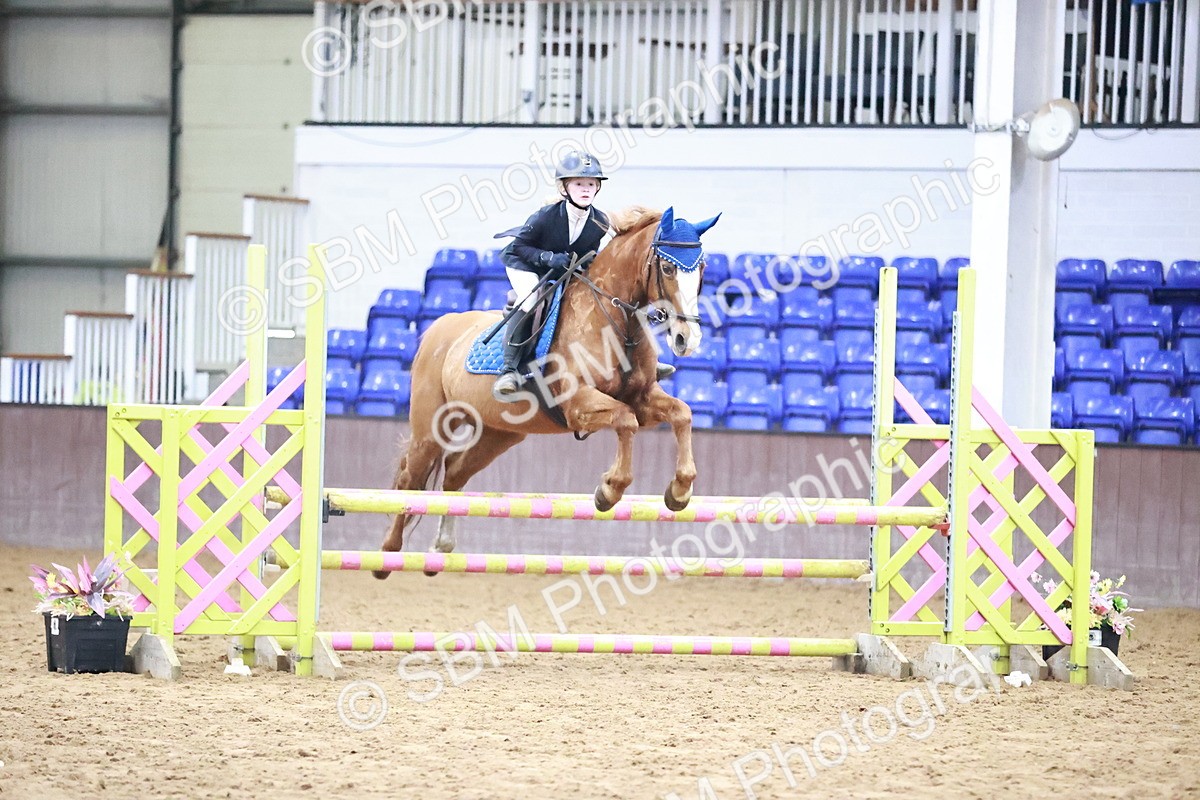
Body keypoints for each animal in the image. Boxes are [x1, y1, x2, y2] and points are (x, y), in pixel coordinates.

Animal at [374, 206, 720, 578]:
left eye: (701, 267)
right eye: (668, 268)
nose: (687, 339)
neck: (615, 322)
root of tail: (439, 326)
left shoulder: (642, 398)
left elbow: (681, 414)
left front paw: (679, 491)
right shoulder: (578, 405)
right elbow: (625, 421)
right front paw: (609, 491)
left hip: (500, 434)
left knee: (453, 474)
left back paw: (440, 550)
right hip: (431, 429)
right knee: (410, 480)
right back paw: (387, 555)